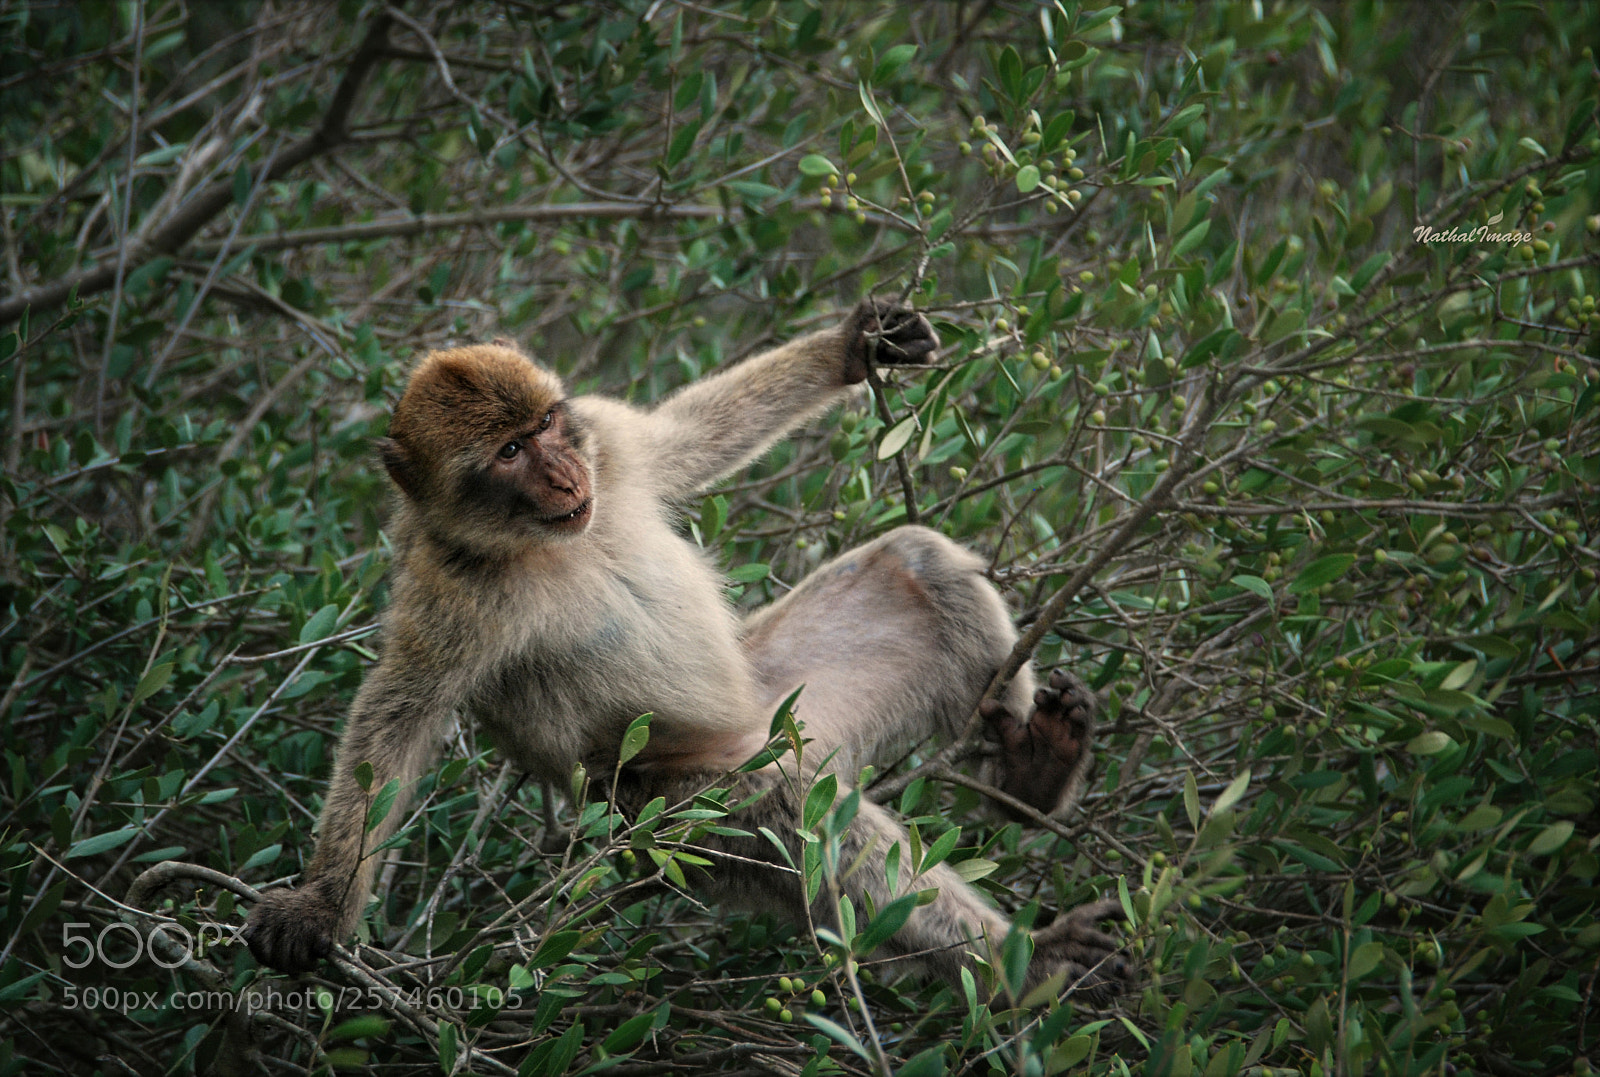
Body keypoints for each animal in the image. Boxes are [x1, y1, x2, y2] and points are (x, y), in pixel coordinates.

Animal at [243, 299, 1128, 998]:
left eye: (545, 426)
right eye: (508, 454)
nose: (564, 476)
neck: (548, 542)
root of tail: (772, 732)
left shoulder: (607, 440)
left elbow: (691, 438)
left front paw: (855, 345)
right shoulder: (453, 592)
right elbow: (398, 719)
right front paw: (320, 905)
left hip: (795, 702)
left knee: (918, 560)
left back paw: (1033, 775)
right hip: (671, 814)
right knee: (790, 804)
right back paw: (1028, 964)